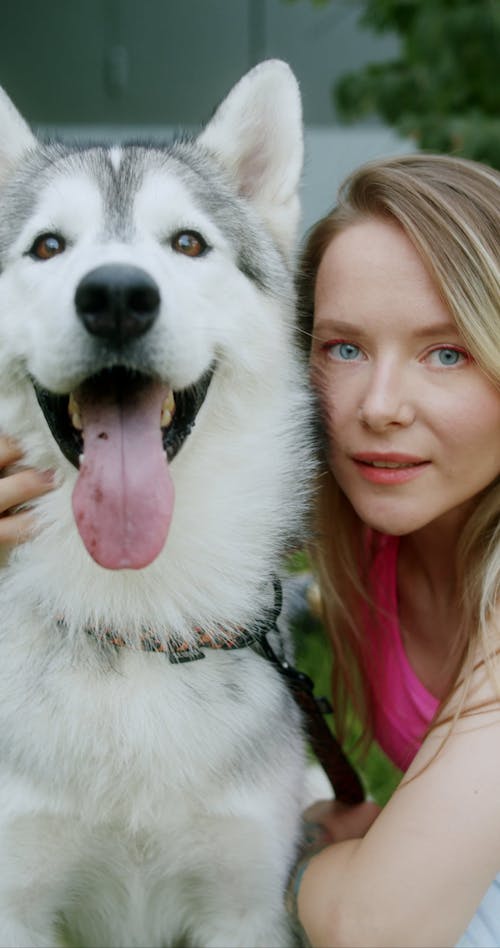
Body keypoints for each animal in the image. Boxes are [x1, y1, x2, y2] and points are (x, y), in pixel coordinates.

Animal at [0, 63, 314, 944]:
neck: (137, 616)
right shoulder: (17, 901)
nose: (115, 295)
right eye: (47, 246)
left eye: (187, 243)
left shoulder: (245, 908)